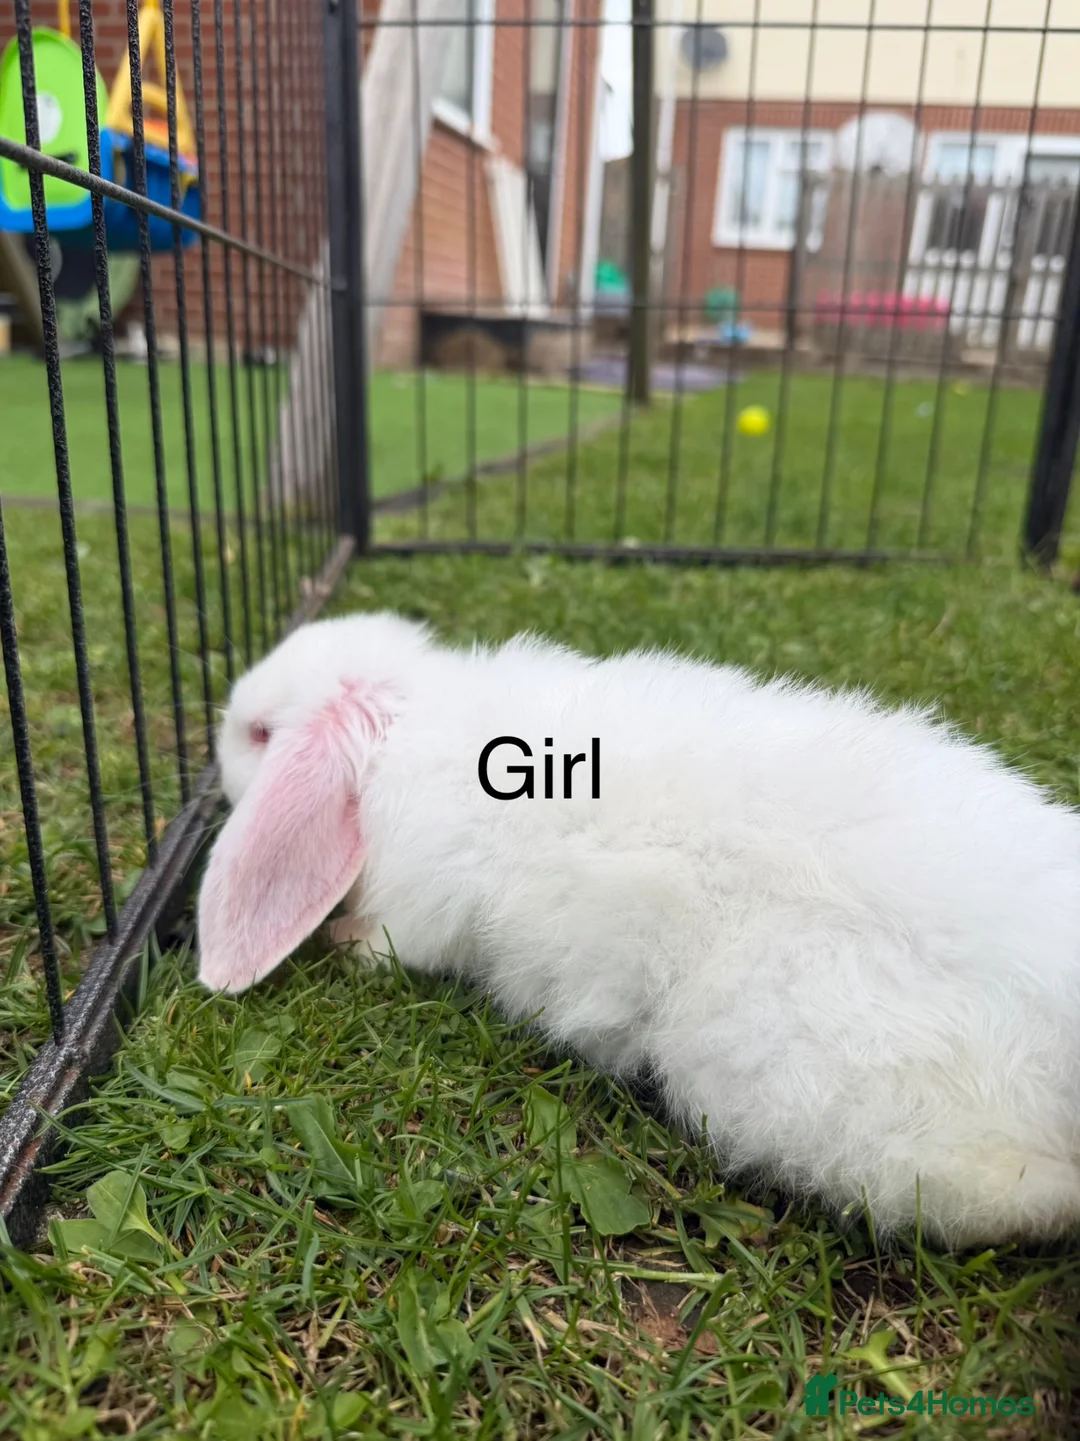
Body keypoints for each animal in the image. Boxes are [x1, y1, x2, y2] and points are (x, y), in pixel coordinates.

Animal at [196, 609, 1080, 1250]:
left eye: (261, 734)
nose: (219, 746)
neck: (405, 724)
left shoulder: (416, 904)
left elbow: (390, 940)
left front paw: (343, 940)